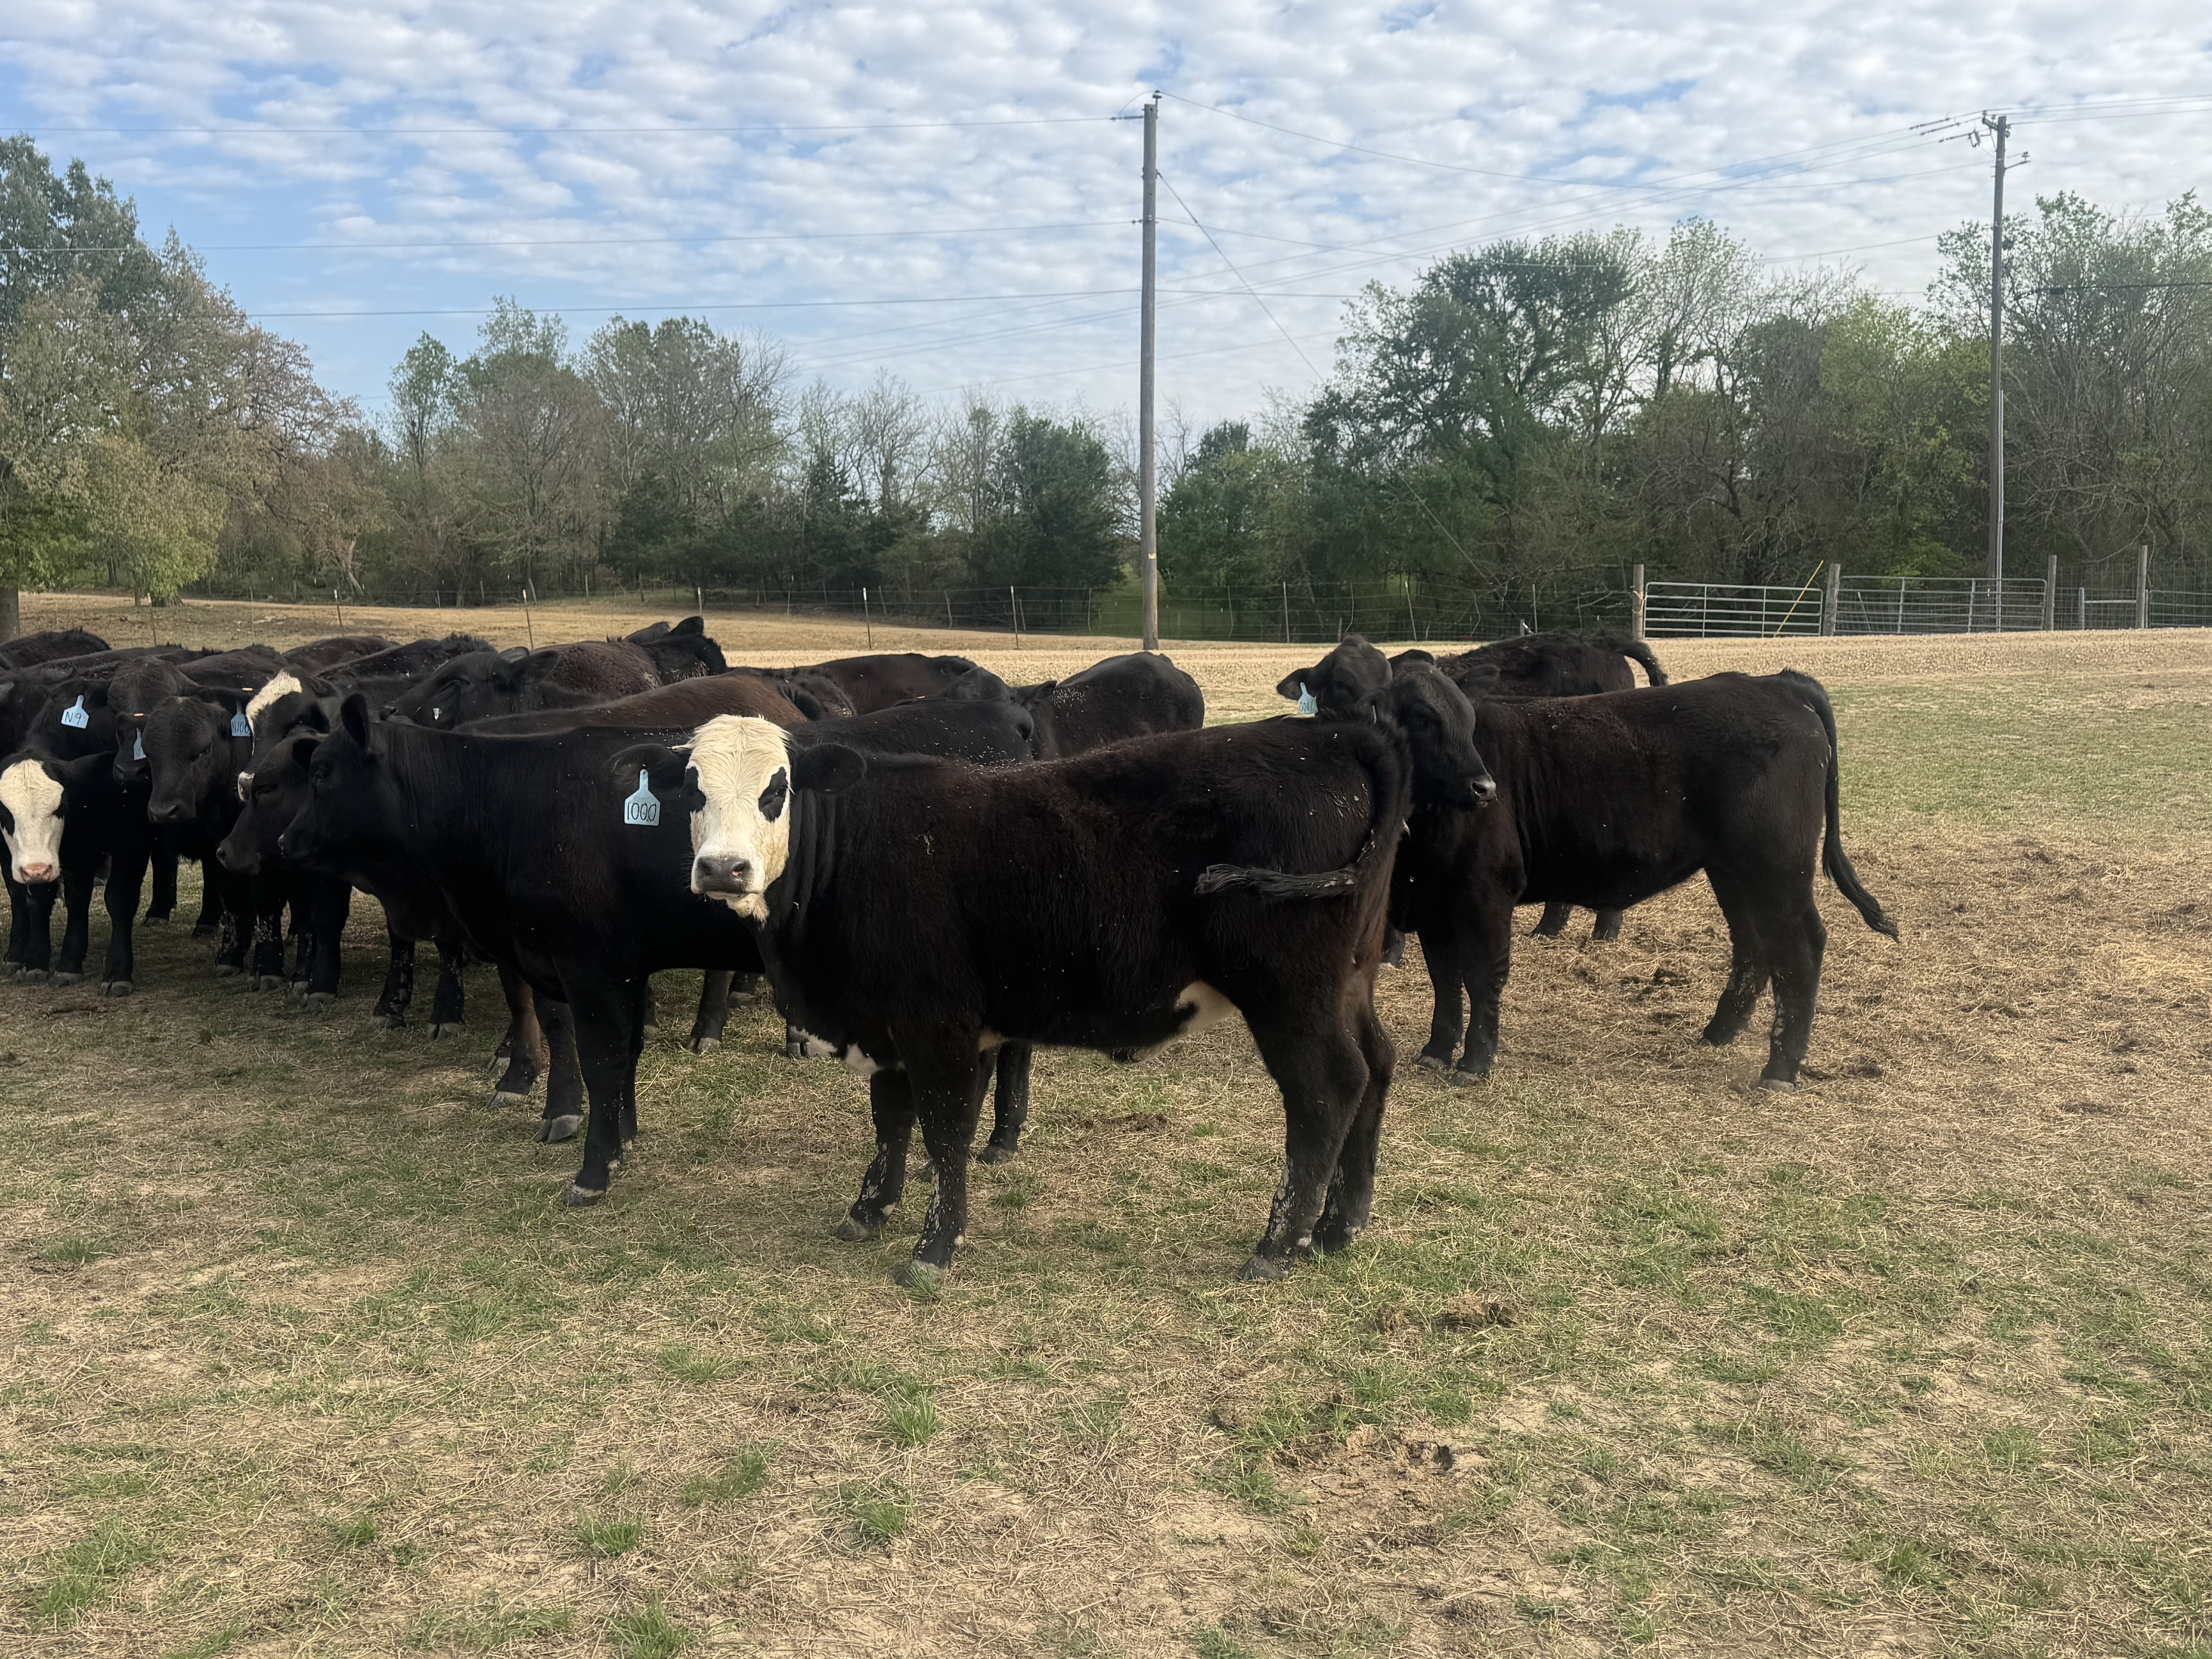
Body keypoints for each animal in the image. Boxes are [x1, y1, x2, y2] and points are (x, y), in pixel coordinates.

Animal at [628, 704, 1439, 1288]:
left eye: (778, 788)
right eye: (694, 789)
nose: (723, 868)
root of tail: (1336, 732)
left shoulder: (937, 1025)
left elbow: (944, 1129)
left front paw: (934, 1246)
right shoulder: (887, 1026)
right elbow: (892, 1122)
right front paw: (869, 1208)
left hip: (1290, 992)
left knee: (1327, 1088)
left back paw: (1280, 1243)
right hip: (1348, 980)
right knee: (1377, 1064)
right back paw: (1339, 1226)